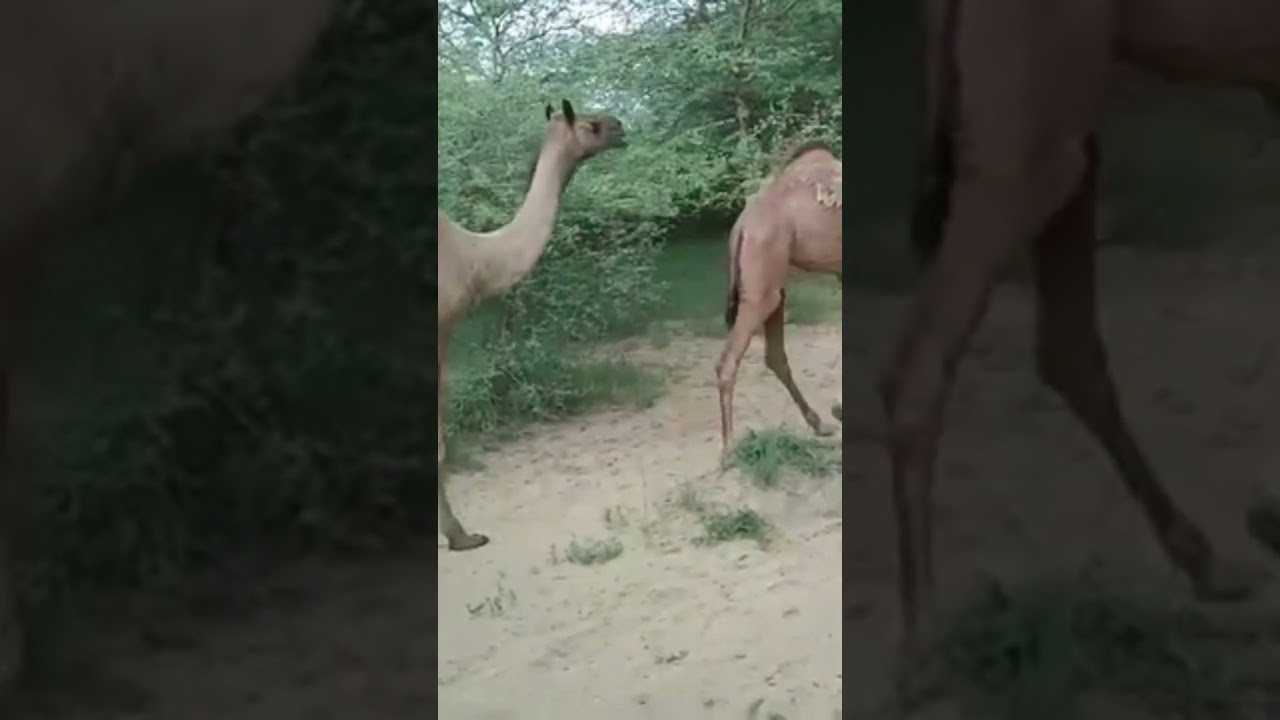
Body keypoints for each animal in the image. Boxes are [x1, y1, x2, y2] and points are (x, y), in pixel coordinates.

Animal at [715, 141, 842, 463]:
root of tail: (742, 225)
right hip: (763, 279)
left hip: (772, 281)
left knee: (774, 355)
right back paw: (728, 449)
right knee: (729, 360)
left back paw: (819, 423)